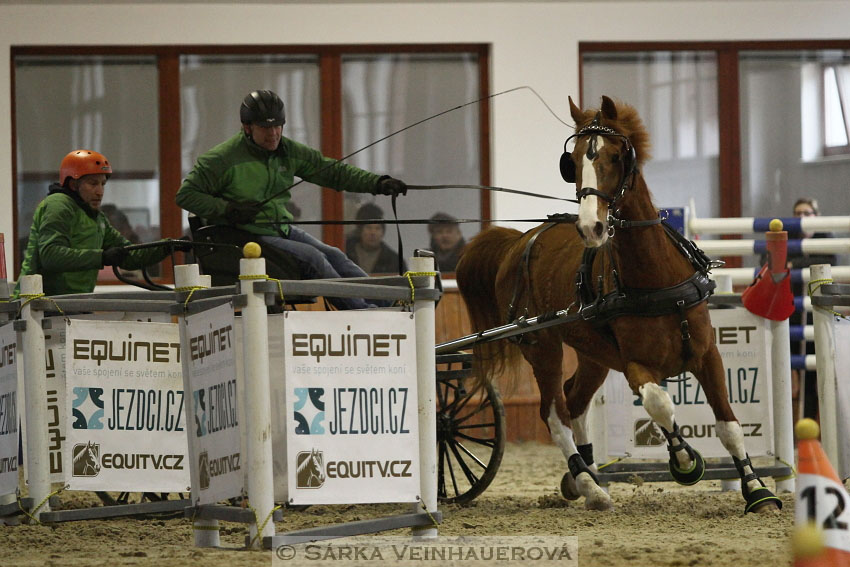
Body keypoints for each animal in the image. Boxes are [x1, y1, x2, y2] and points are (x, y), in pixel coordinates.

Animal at [458, 96, 780, 516]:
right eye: (572, 161)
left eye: (615, 156)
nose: (590, 227)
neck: (657, 277)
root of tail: (519, 240)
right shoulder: (634, 365)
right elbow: (660, 404)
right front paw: (684, 460)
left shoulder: (707, 354)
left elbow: (729, 426)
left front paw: (757, 490)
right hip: (542, 347)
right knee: (555, 413)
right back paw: (590, 486)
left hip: (592, 353)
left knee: (575, 400)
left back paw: (583, 476)